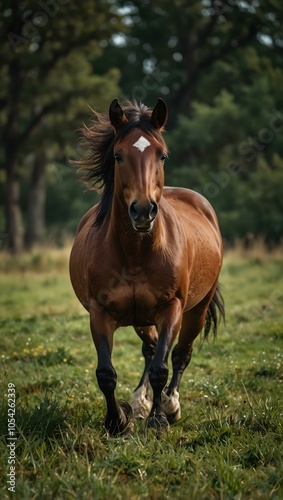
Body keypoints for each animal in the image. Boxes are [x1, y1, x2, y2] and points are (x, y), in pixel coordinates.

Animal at [70, 97, 225, 434]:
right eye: (117, 156)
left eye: (162, 155)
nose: (142, 211)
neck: (135, 254)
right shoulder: (100, 312)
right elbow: (106, 372)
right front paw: (117, 420)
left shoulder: (171, 308)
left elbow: (161, 369)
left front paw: (158, 419)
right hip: (141, 318)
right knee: (151, 348)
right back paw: (140, 402)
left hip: (196, 309)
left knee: (180, 355)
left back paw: (170, 404)